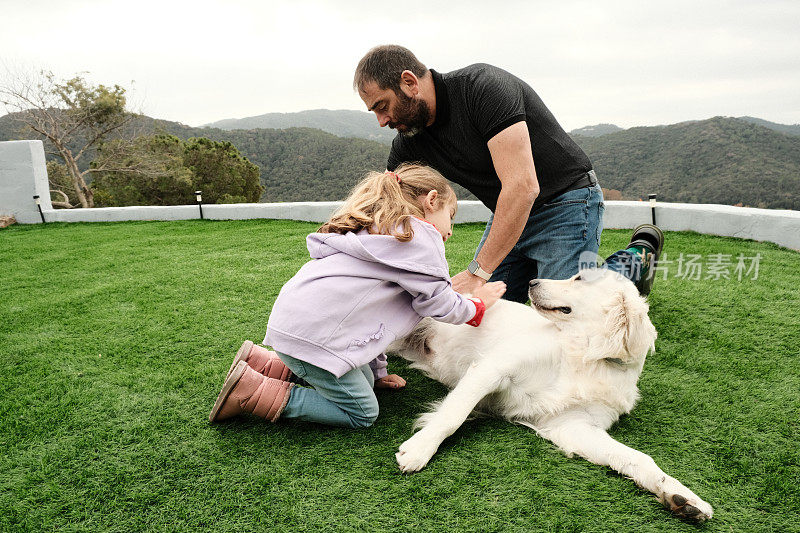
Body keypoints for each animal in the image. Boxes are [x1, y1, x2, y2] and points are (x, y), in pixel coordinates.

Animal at [388, 268, 712, 520]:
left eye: (579, 278)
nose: (532, 281)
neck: (587, 358)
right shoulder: (493, 367)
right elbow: (452, 416)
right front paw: (419, 449)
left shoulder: (572, 425)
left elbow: (638, 458)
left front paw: (681, 496)